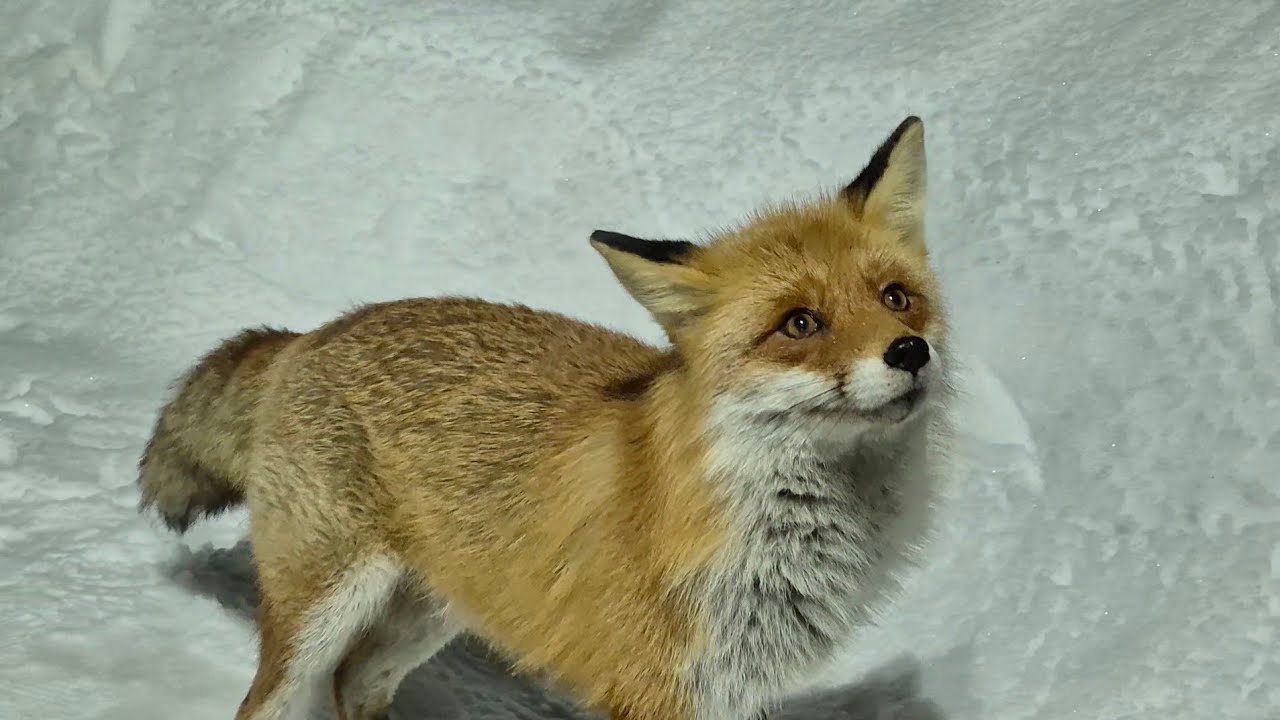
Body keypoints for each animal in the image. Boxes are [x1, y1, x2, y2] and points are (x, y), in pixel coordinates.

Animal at [137, 115, 954, 720]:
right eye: (800, 323)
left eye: (895, 297)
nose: (910, 352)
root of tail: (313, 333)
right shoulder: (659, 689)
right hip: (322, 609)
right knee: (267, 702)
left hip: (433, 611)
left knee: (356, 682)